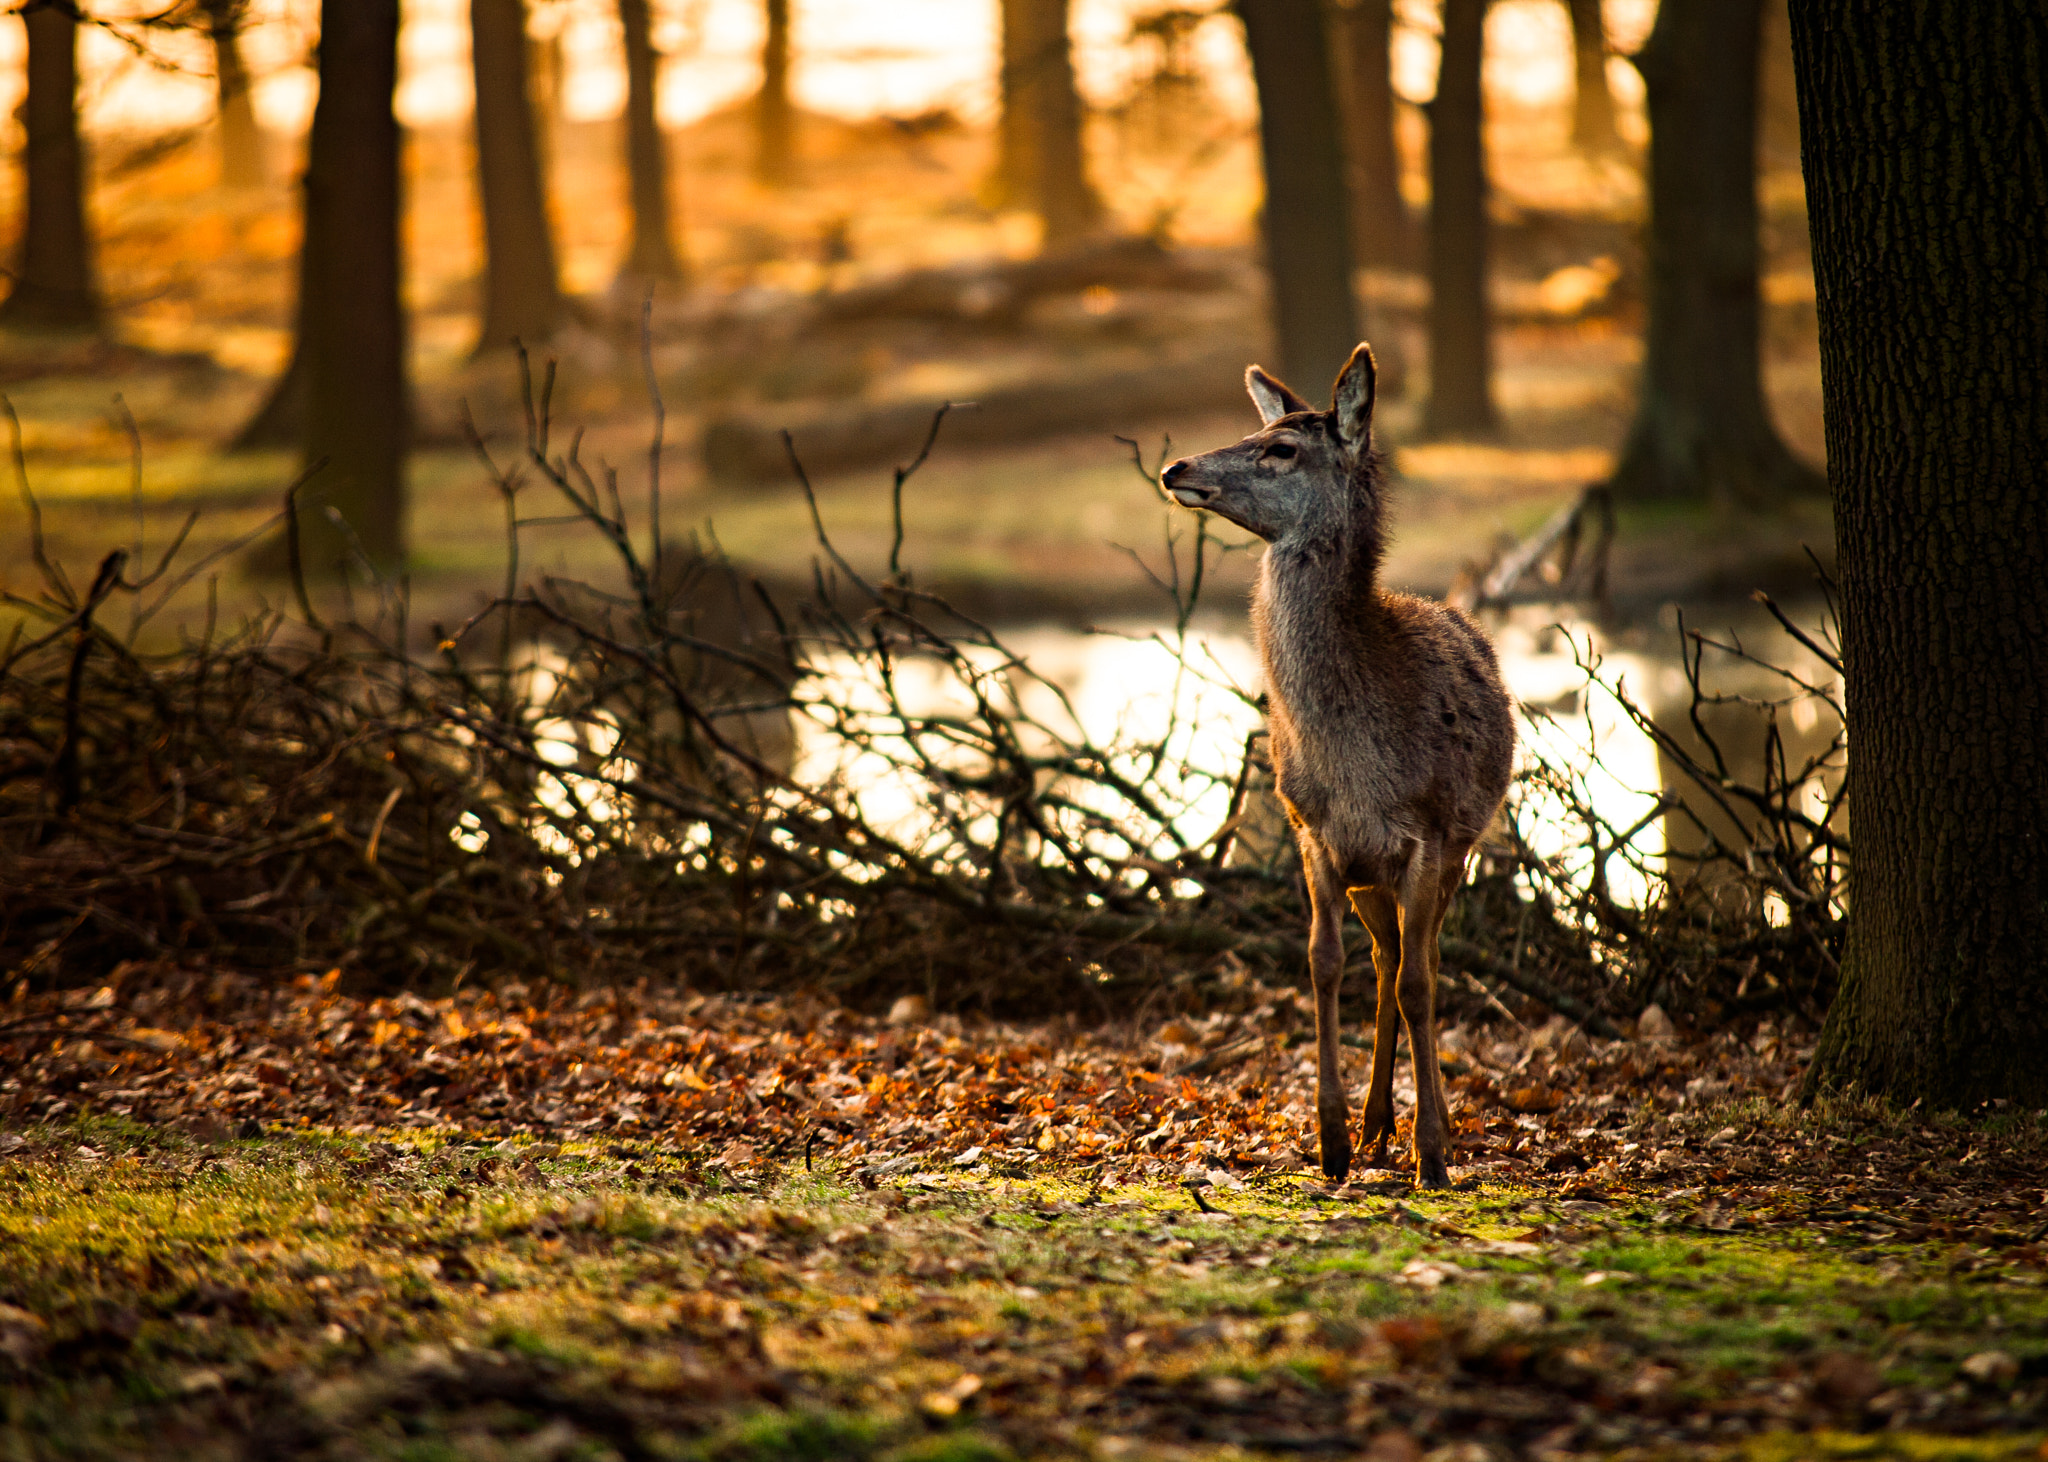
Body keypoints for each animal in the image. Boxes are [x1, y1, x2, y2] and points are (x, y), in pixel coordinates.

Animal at [1163, 344, 1515, 1187]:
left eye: (1282, 448)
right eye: (1258, 429)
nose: (1177, 466)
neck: (1358, 761)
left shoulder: (1428, 833)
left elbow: (1422, 982)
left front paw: (1434, 1152)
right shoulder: (1312, 830)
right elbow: (1324, 962)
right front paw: (1329, 1140)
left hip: (1458, 850)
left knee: (1420, 960)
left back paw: (1409, 1128)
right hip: (1368, 876)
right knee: (1385, 955)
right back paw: (1375, 1123)